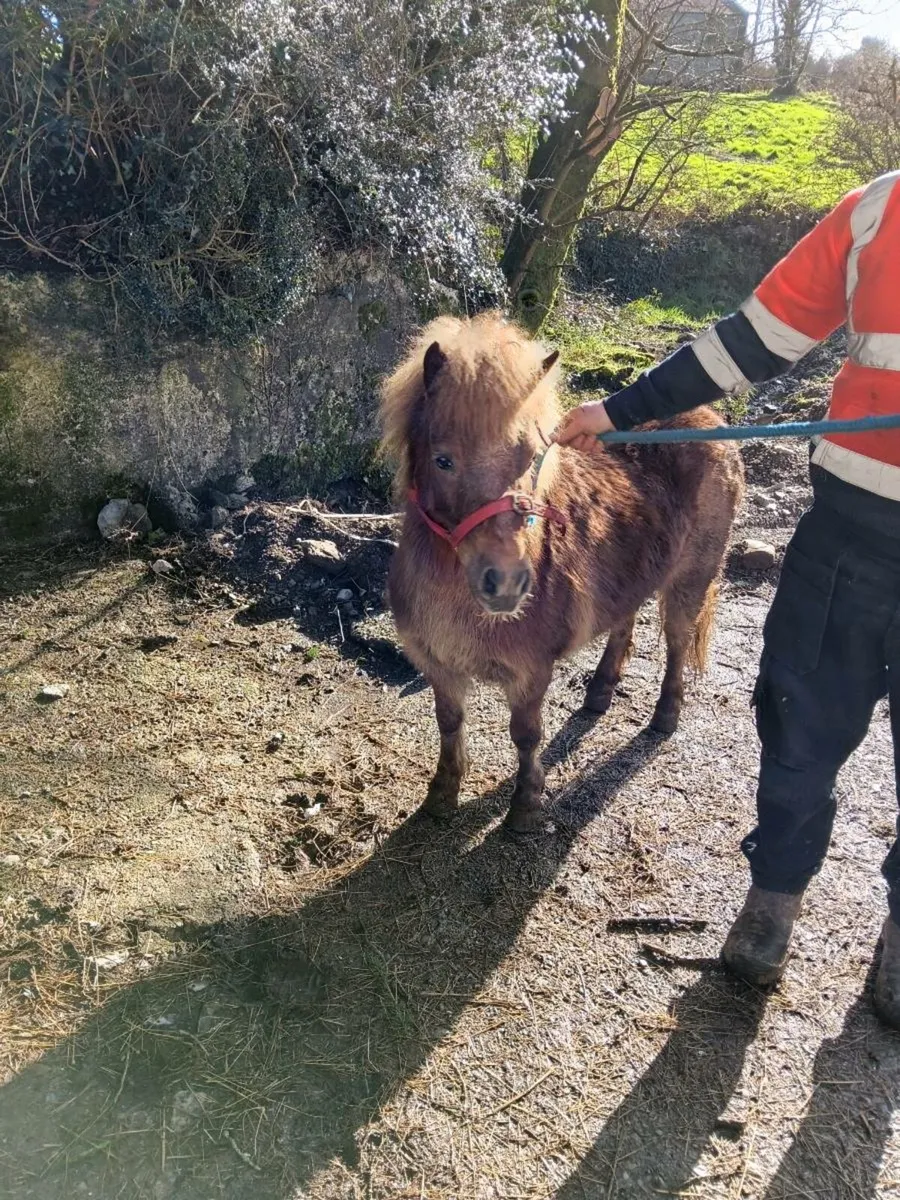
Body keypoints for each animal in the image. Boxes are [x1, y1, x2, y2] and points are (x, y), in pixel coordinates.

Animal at [381, 312, 744, 832]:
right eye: (443, 460)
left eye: (532, 458)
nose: (507, 583)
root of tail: (711, 420)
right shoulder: (438, 665)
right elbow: (448, 723)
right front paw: (441, 795)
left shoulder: (531, 672)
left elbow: (526, 735)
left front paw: (525, 806)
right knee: (623, 619)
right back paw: (599, 692)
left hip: (691, 579)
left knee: (677, 642)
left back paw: (665, 715)